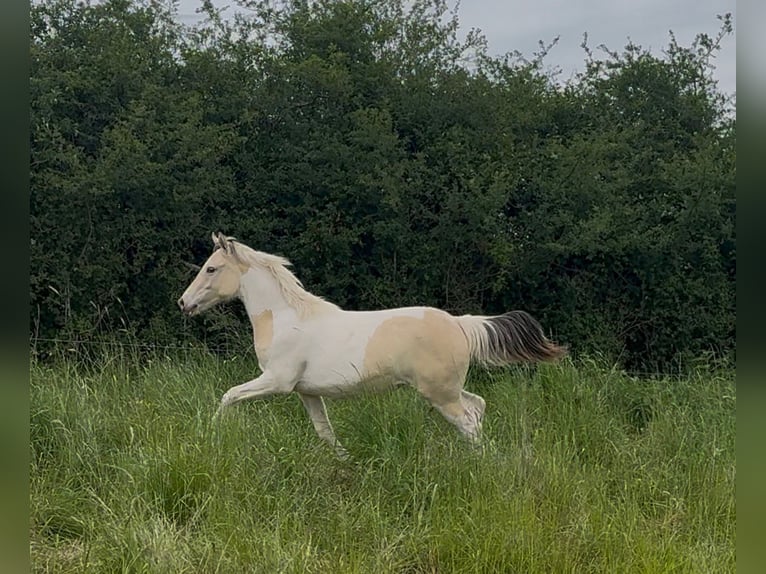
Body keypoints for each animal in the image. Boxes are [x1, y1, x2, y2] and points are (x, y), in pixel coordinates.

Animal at [178, 232, 566, 456]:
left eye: (211, 268)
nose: (184, 303)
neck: (286, 318)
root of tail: (460, 323)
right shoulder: (307, 392)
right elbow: (325, 432)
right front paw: (345, 462)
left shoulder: (277, 381)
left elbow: (228, 396)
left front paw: (211, 433)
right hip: (447, 389)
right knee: (478, 406)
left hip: (440, 394)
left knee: (469, 421)